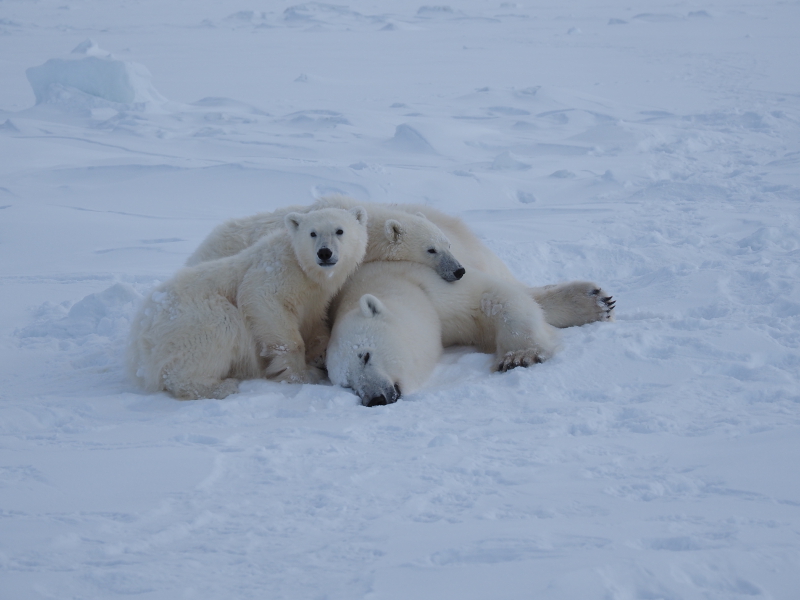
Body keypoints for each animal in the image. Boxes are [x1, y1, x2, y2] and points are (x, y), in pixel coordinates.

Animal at [127, 206, 368, 400]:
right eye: (312, 233)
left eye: (340, 230)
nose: (324, 252)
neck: (306, 272)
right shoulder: (273, 274)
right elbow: (264, 301)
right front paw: (302, 373)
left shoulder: (316, 298)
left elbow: (315, 323)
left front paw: (319, 353)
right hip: (191, 319)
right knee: (219, 328)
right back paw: (222, 386)